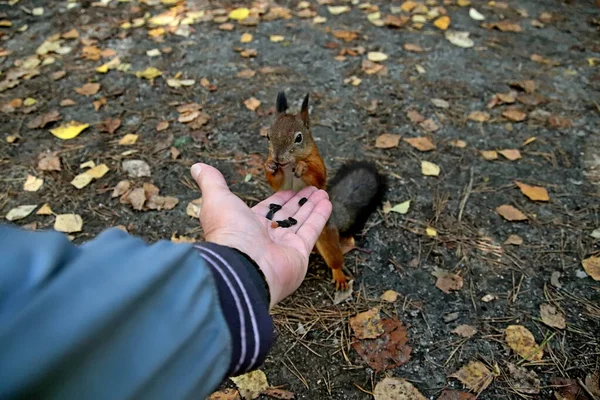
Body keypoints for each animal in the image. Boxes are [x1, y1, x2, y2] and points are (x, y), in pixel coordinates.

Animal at [264, 92, 386, 290]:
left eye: (298, 138)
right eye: (268, 135)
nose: (277, 158)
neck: (288, 165)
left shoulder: (317, 165)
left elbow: (316, 175)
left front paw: (302, 166)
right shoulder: (279, 183)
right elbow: (276, 183)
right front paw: (269, 166)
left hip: (326, 235)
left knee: (335, 258)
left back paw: (339, 276)